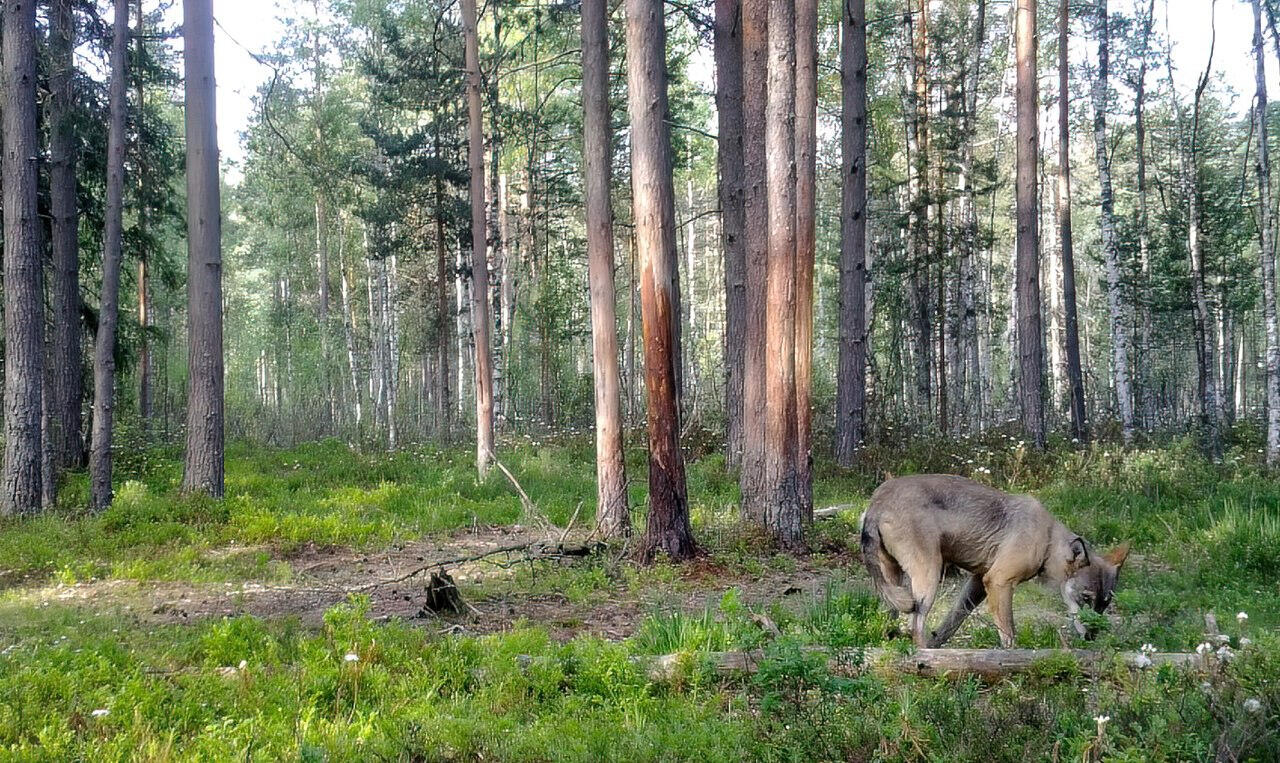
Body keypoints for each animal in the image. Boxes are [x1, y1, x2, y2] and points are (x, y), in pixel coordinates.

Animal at [860, 473, 1131, 647]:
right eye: (1085, 598)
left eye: (1104, 605)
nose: (1091, 637)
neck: (1047, 539)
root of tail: (877, 502)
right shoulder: (999, 582)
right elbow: (1009, 634)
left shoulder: (978, 584)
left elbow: (951, 623)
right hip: (929, 579)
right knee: (915, 627)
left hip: (895, 583)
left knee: (891, 622)